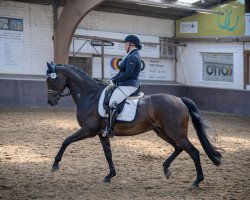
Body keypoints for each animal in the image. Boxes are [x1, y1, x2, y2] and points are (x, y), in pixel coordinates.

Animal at [46, 62, 222, 188]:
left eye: (51, 79)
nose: (50, 102)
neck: (90, 96)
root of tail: (179, 100)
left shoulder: (88, 130)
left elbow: (66, 141)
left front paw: (55, 164)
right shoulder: (102, 133)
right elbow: (108, 154)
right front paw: (110, 176)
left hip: (176, 133)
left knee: (193, 152)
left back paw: (197, 181)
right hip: (162, 132)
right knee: (179, 148)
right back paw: (166, 169)